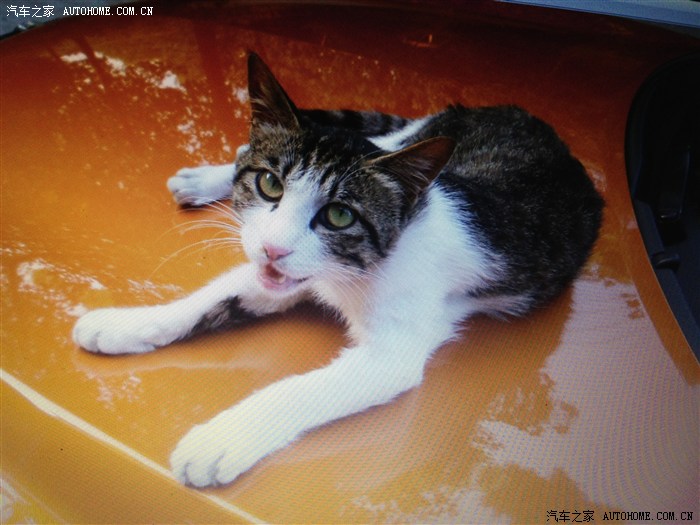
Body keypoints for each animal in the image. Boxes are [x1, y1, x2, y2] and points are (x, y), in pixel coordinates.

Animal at [72, 52, 603, 487]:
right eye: (269, 184)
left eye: (340, 216)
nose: (272, 249)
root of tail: (520, 114)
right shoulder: (277, 272)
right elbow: (210, 297)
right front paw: (122, 324)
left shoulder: (392, 347)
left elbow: (296, 390)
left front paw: (220, 441)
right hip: (407, 136)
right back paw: (205, 177)